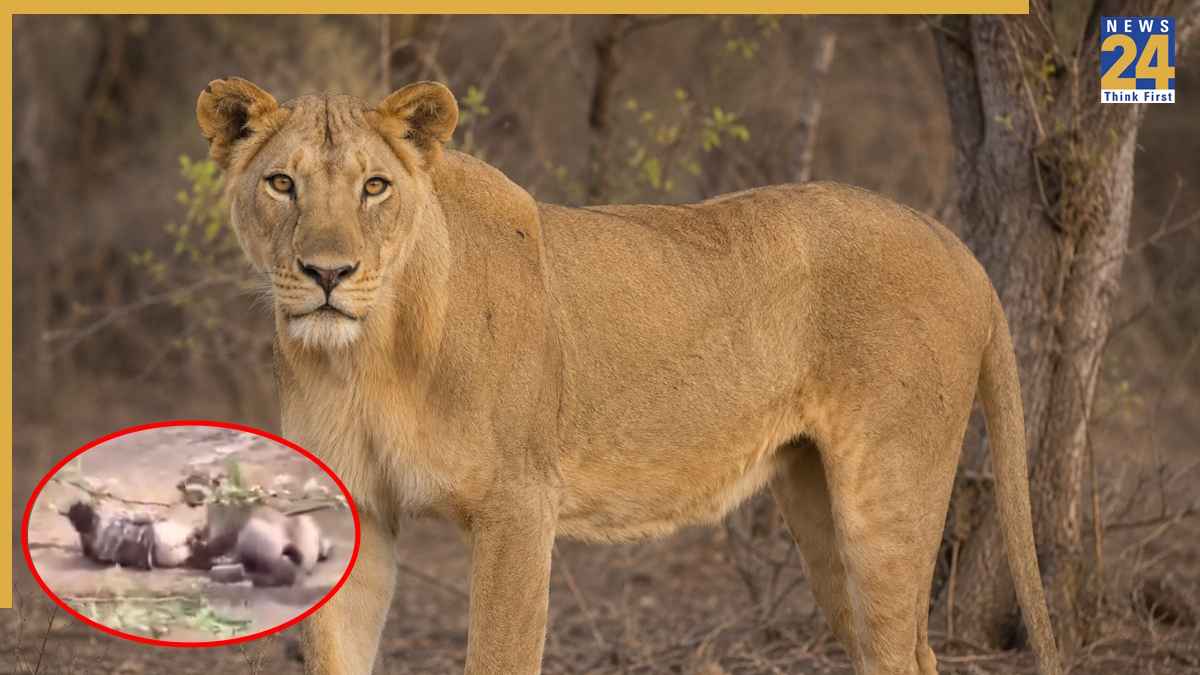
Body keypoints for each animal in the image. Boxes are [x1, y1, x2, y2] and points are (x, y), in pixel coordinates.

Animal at [195, 77, 1062, 675]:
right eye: (282, 183)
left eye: (374, 186)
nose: (328, 272)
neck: (367, 355)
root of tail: (954, 243)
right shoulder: (354, 503)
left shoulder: (518, 504)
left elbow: (499, 654)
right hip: (818, 501)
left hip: (889, 493)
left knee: (903, 651)